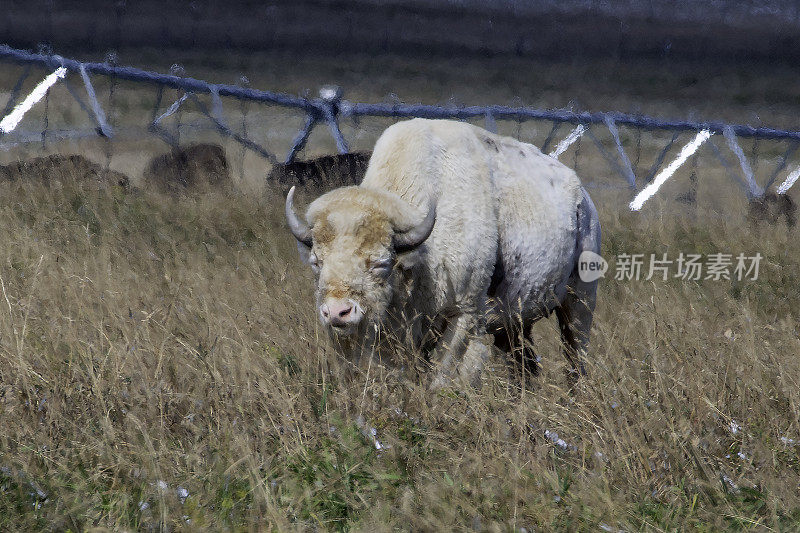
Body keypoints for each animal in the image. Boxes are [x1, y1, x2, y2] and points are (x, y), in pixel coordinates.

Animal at [288, 117, 600, 386]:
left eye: (381, 263)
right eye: (316, 262)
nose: (337, 313)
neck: (421, 255)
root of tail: (583, 199)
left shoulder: (464, 314)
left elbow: (444, 377)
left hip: (579, 302)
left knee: (576, 356)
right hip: (516, 323)